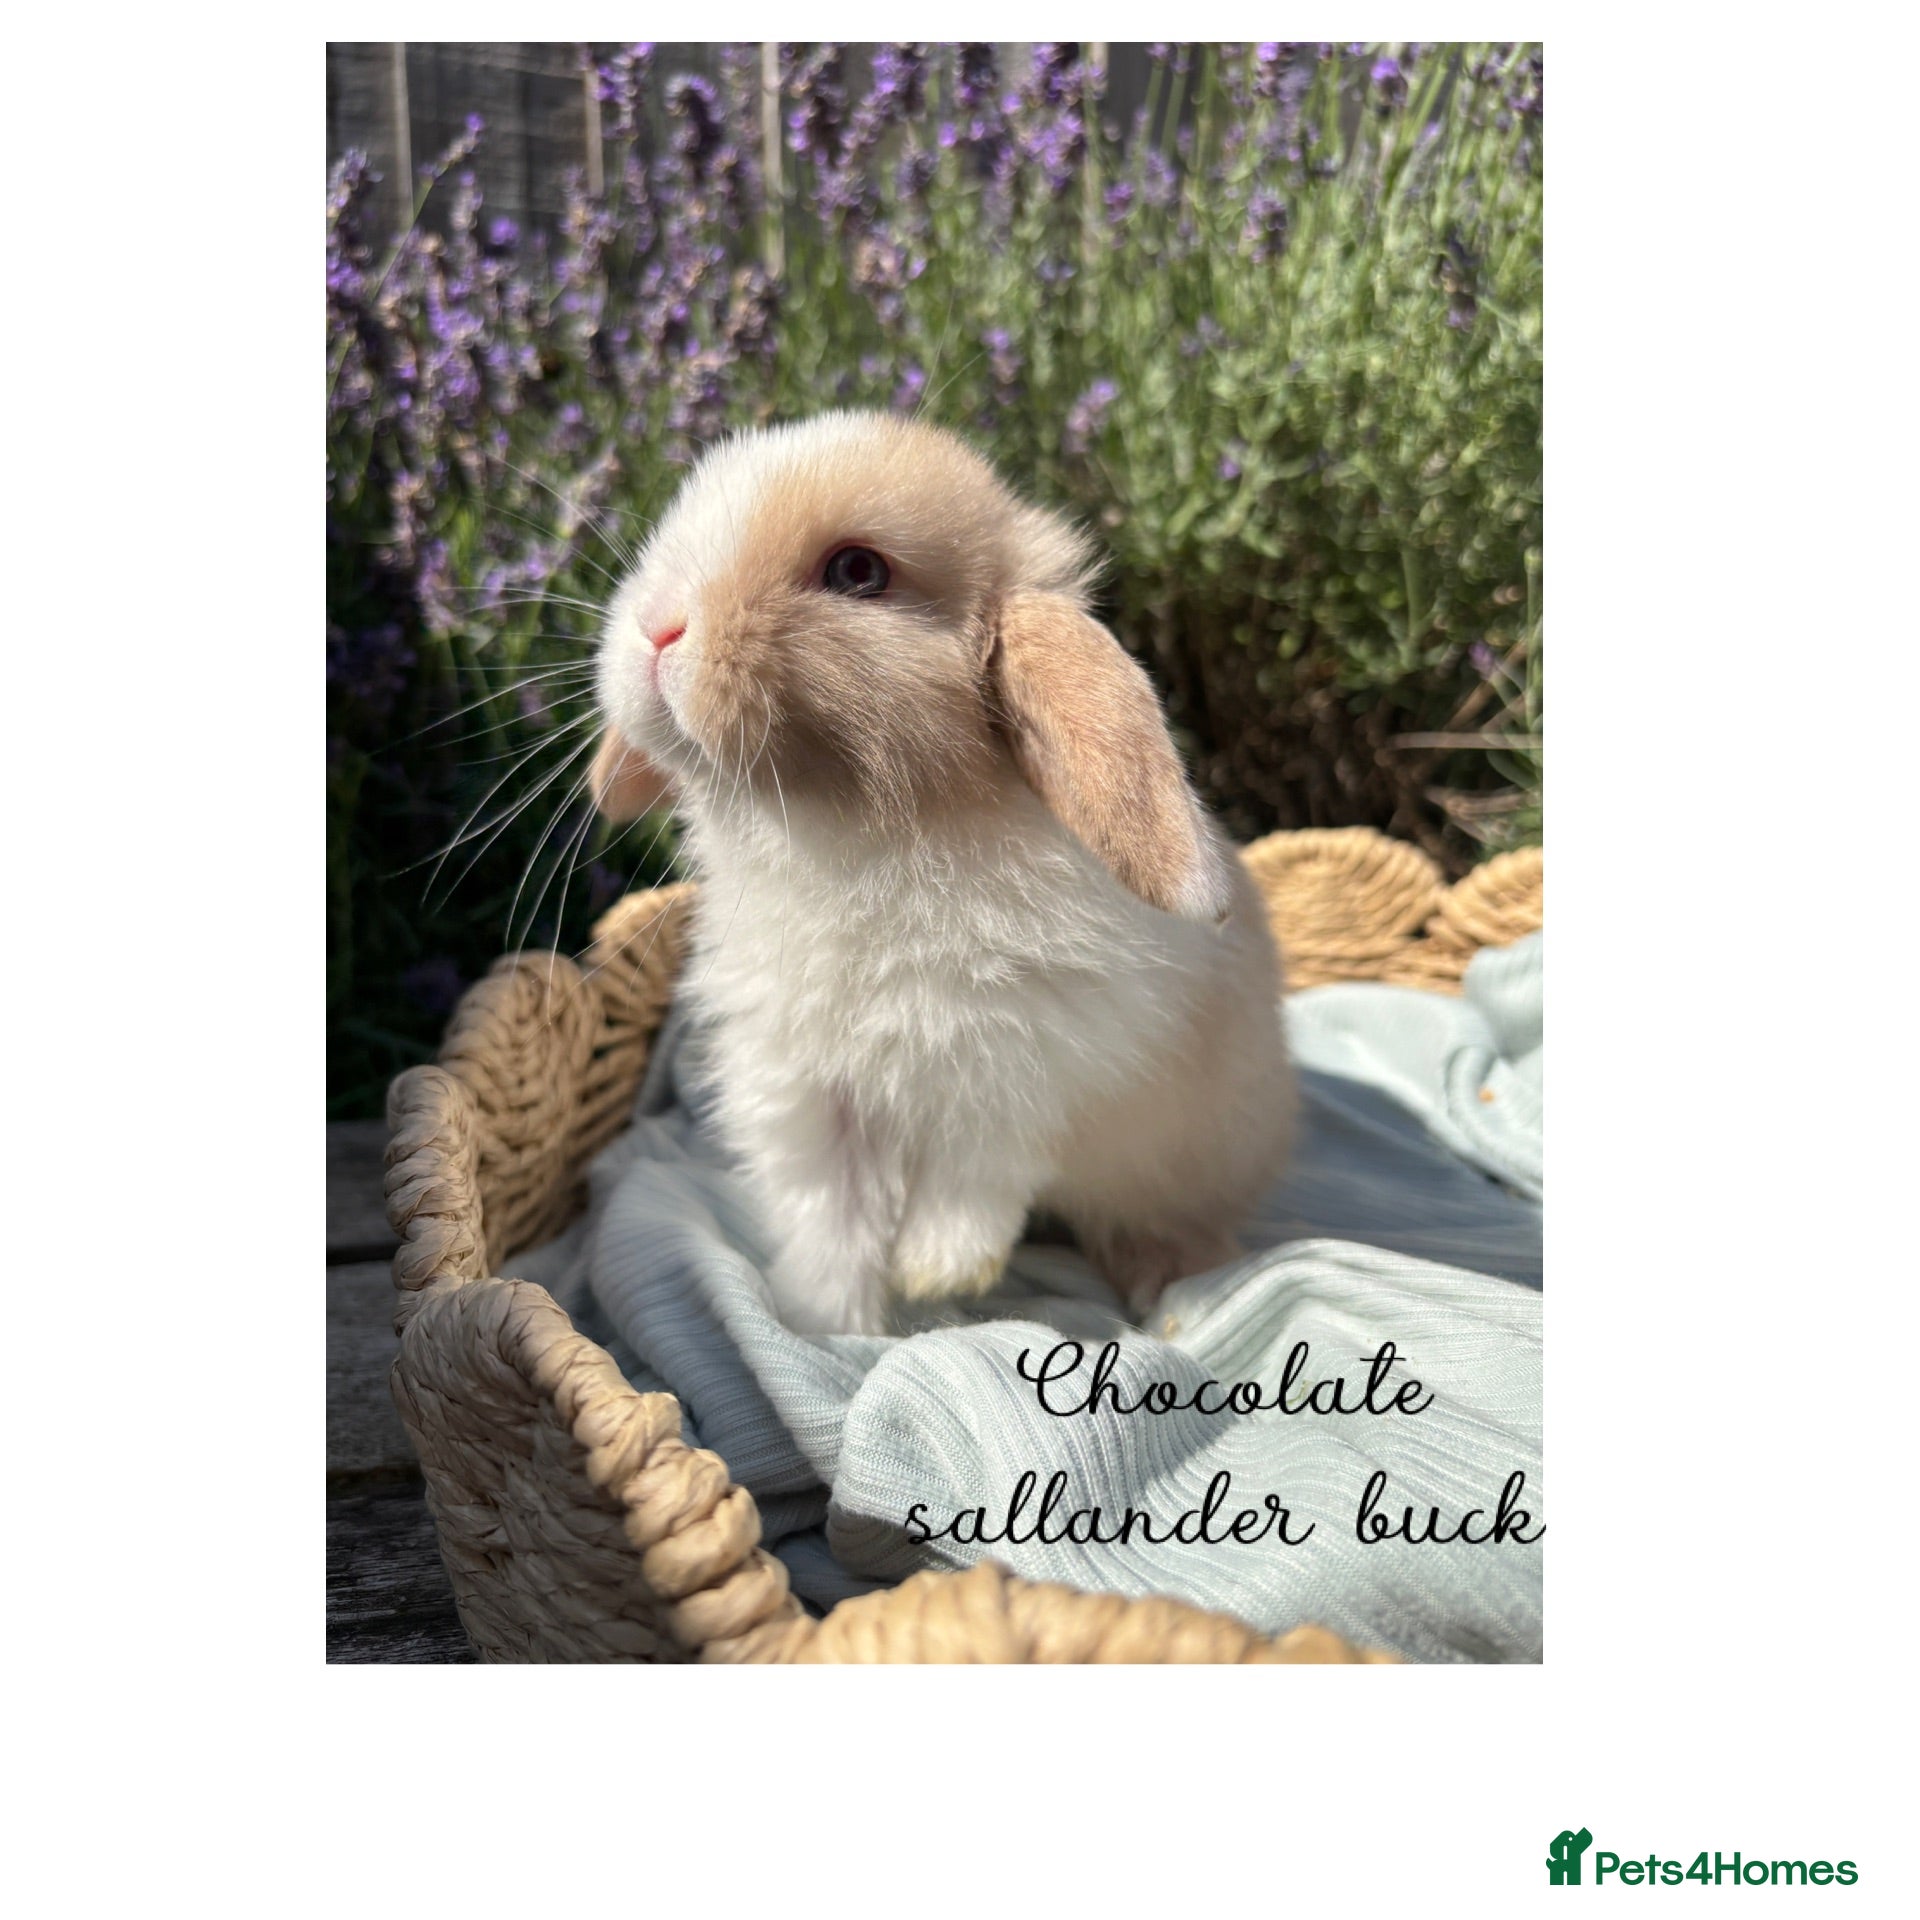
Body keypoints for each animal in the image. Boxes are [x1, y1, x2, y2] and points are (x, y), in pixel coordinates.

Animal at [590, 410, 1295, 1336]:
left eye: (858, 572)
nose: (659, 627)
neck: (853, 841)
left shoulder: (1021, 1077)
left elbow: (971, 1187)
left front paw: (937, 1274)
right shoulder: (811, 1100)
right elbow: (833, 1223)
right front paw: (832, 1329)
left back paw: (1163, 1279)